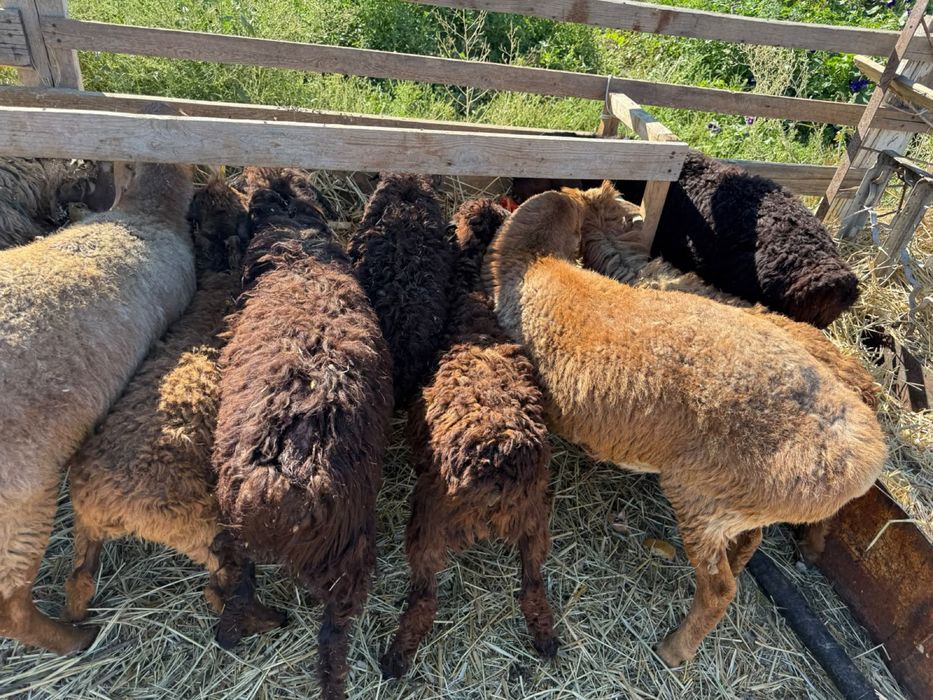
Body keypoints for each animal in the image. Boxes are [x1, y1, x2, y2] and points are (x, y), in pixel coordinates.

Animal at [62, 176, 285, 641]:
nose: (213, 182)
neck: (219, 283)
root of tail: (105, 504)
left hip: (91, 532)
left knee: (79, 581)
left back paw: (77, 628)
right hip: (196, 522)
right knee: (221, 584)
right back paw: (265, 620)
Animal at [381, 200, 558, 678]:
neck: (473, 306)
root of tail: (496, 473)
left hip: (428, 521)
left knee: (425, 598)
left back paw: (396, 657)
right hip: (534, 520)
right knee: (533, 585)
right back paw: (546, 640)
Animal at [482, 181, 886, 668]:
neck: (540, 265)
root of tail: (861, 453)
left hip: (701, 500)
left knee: (719, 589)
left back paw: (674, 650)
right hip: (737, 508)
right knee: (749, 545)